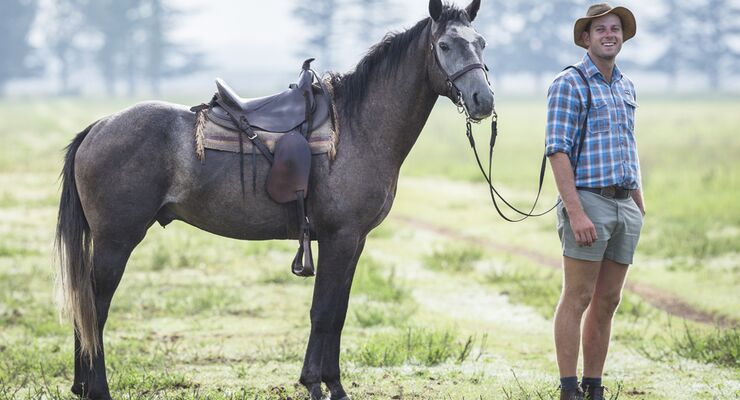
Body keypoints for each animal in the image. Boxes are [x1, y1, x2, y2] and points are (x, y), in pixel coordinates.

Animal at [55, 1, 494, 398]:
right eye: (445, 46)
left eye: (481, 43)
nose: (483, 100)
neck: (357, 128)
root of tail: (99, 127)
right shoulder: (339, 238)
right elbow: (323, 311)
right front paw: (316, 384)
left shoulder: (354, 241)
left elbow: (338, 313)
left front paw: (333, 385)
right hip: (116, 241)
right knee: (95, 307)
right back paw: (98, 389)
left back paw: (82, 385)